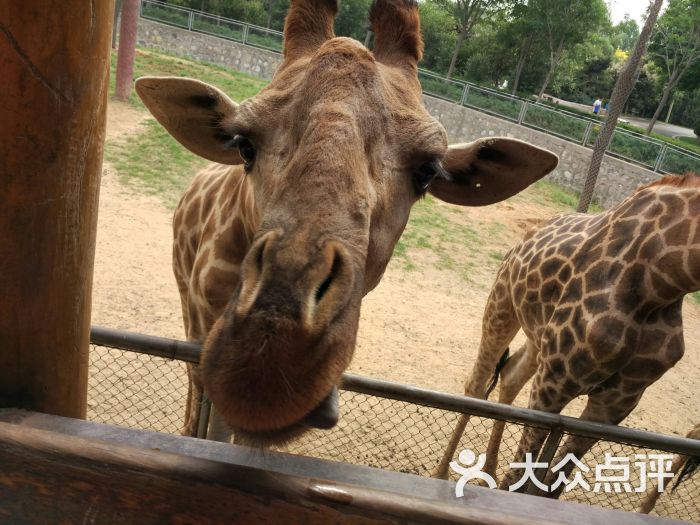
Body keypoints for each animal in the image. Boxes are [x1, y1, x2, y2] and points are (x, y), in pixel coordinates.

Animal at [434, 174, 696, 494]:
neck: (664, 281)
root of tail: (531, 231)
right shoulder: (554, 383)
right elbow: (521, 475)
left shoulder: (617, 402)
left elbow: (553, 482)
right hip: (502, 302)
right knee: (477, 383)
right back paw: (441, 473)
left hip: (538, 337)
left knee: (510, 376)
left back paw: (488, 472)